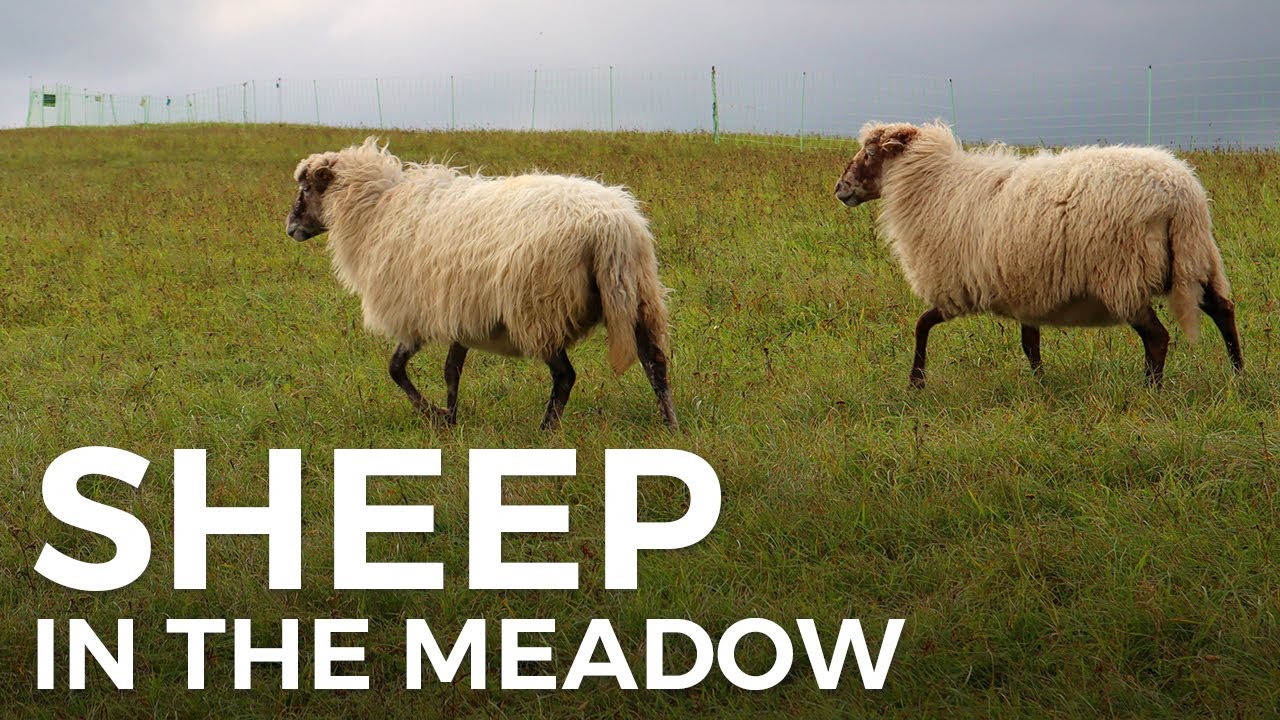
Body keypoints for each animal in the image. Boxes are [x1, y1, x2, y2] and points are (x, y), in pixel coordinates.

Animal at [285, 138, 678, 430]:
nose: (290, 229)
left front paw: (432, 414)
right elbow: (451, 370)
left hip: (540, 307)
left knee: (565, 376)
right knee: (654, 362)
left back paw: (545, 431)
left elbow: (396, 369)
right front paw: (450, 416)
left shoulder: (414, 310)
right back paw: (669, 425)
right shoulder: (459, 310)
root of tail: (610, 225)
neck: (377, 209)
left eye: (306, 188)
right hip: (639, 294)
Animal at [834, 121, 1243, 388]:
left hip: (1124, 273)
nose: (840, 188)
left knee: (1157, 337)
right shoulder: (1023, 288)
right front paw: (1040, 385)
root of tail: (1180, 193)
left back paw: (1151, 390)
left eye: (870, 153)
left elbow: (921, 325)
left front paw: (915, 382)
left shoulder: (958, 288)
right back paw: (1239, 374)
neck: (936, 185)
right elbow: (1030, 344)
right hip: (1194, 258)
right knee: (1223, 310)